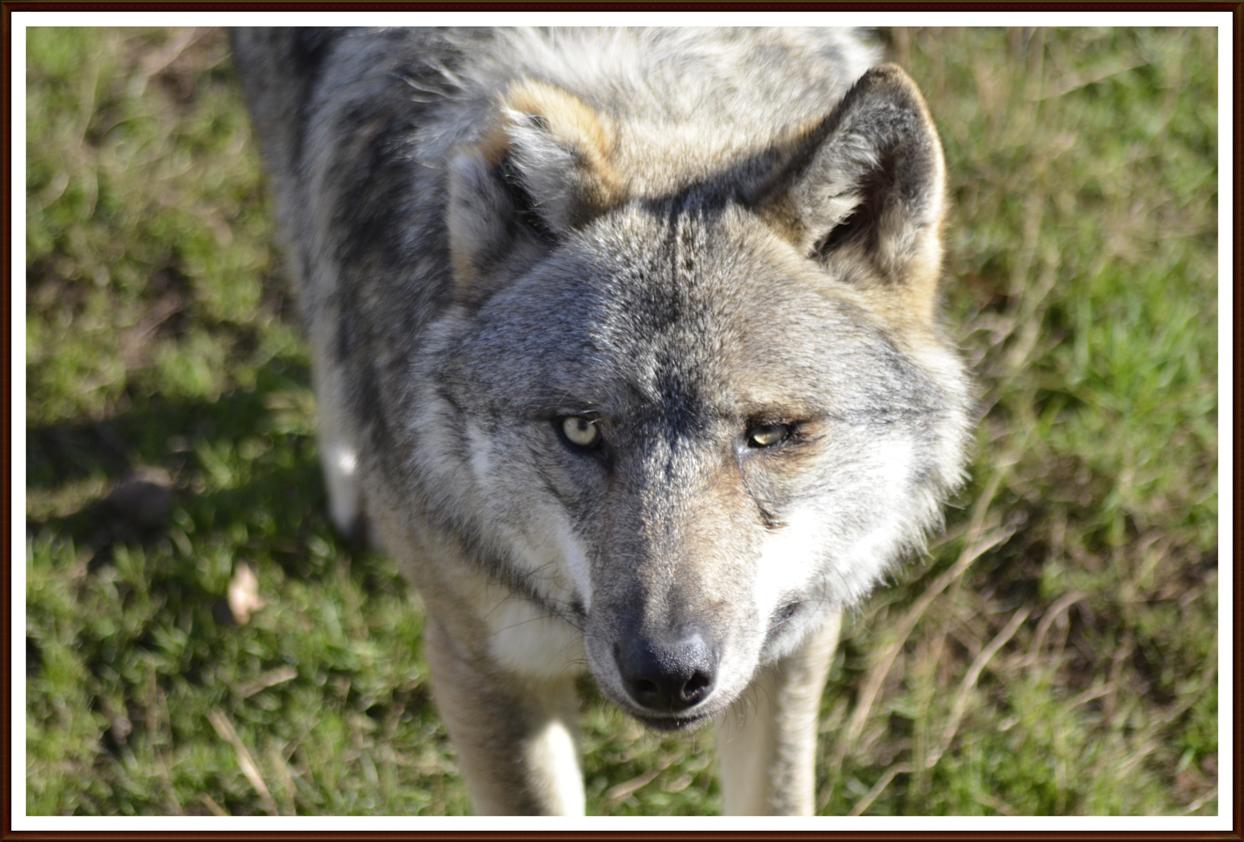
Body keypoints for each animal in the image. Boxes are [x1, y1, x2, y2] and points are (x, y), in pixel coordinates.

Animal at [231, 27, 970, 815]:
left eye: (769, 433)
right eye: (582, 430)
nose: (668, 675)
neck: (662, 97)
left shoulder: (791, 650)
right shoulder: (484, 668)